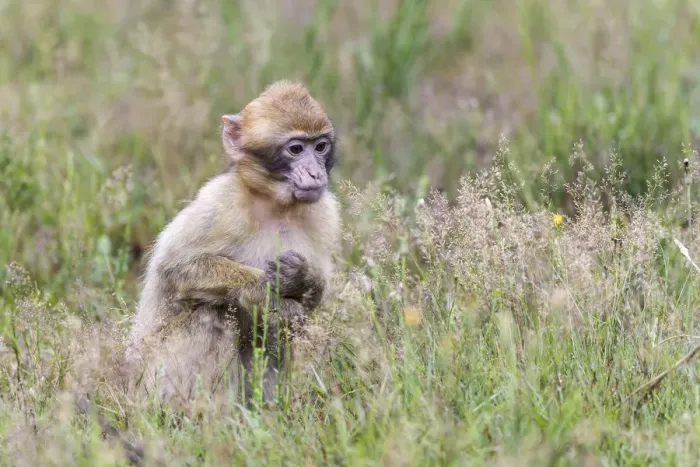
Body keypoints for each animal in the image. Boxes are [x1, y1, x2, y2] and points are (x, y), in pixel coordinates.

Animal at [124, 81, 341, 407]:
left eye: (320, 146)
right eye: (296, 149)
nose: (316, 173)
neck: (274, 205)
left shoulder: (325, 213)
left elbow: (317, 294)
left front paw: (300, 277)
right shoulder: (221, 202)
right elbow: (176, 267)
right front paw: (268, 293)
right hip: (150, 379)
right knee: (211, 313)